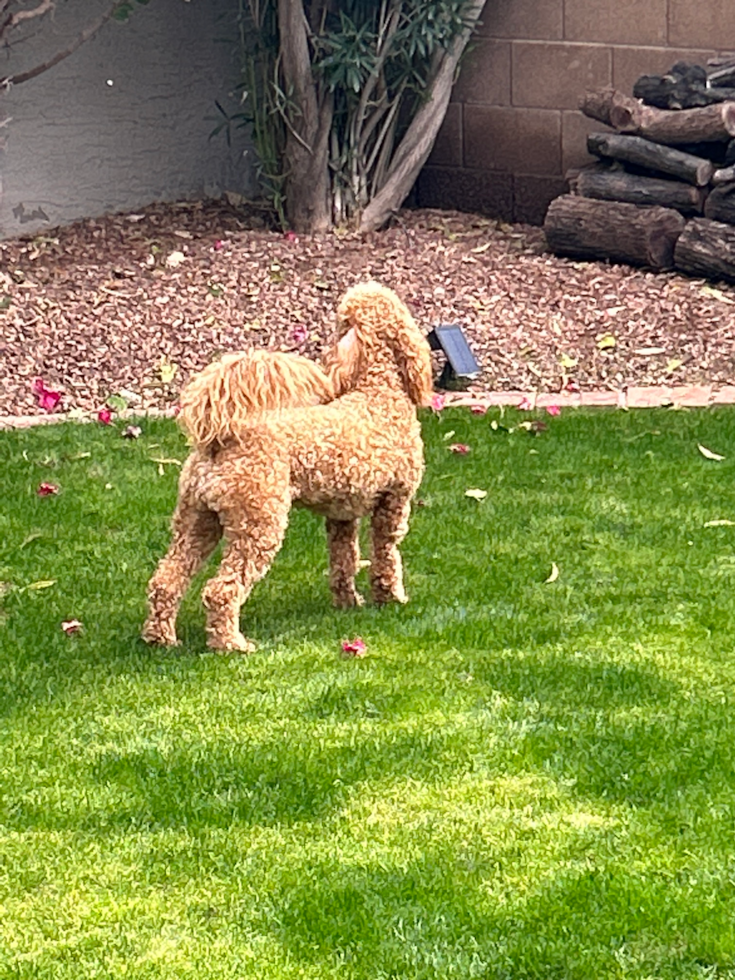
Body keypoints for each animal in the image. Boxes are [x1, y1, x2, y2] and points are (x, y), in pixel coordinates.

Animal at [141, 282, 434, 652]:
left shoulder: (342, 514)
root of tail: (221, 439)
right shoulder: (394, 502)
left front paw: (347, 603)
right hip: (259, 524)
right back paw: (231, 644)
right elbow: (386, 555)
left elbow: (344, 560)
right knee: (222, 590)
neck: (377, 391)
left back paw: (160, 637)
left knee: (166, 580)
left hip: (196, 519)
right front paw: (391, 598)